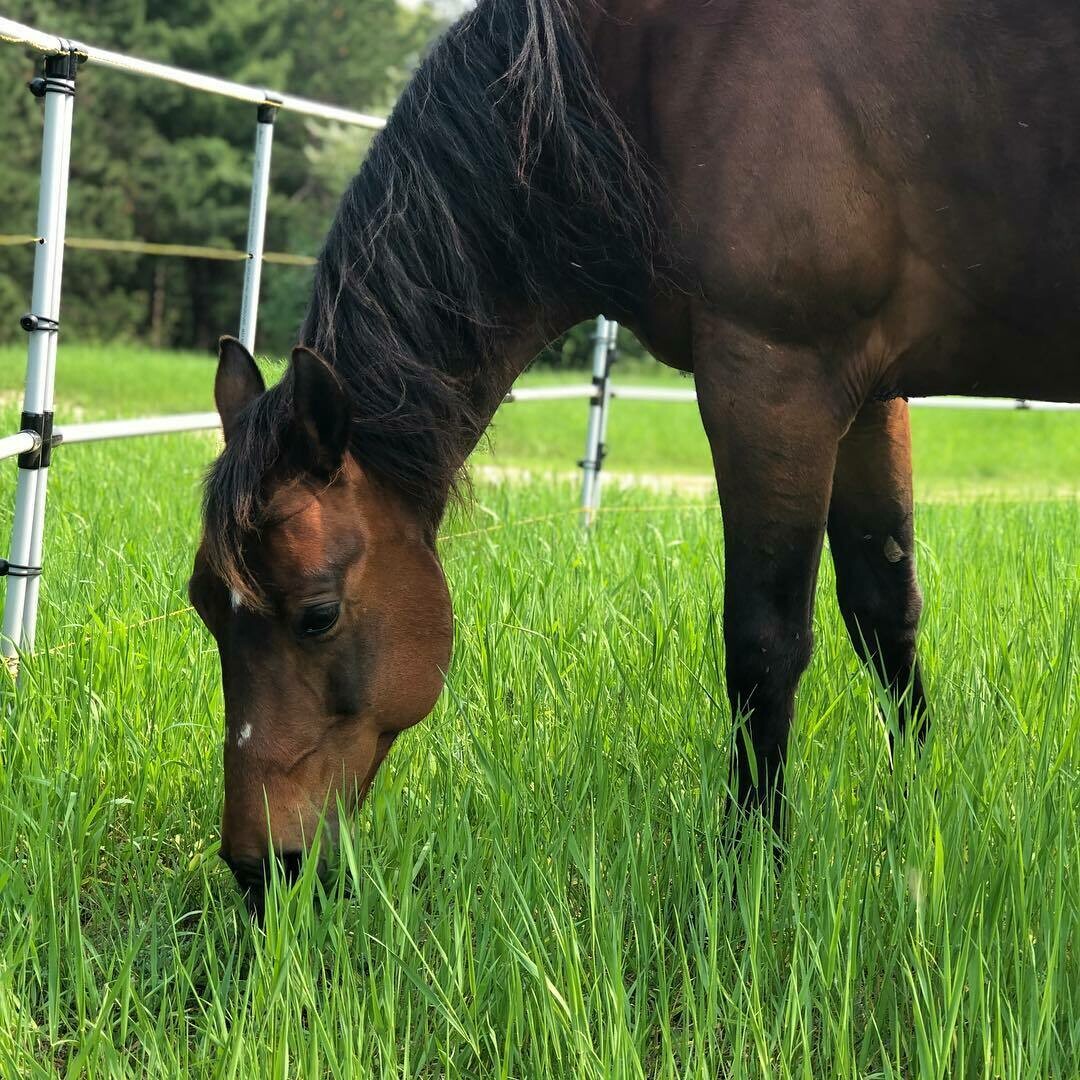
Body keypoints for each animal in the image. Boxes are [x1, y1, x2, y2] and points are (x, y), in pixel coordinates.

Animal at [188, 0, 1080, 909]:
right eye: (202, 606)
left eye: (317, 615)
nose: (258, 867)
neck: (655, 74)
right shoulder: (869, 394)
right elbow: (884, 610)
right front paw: (918, 812)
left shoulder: (772, 381)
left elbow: (764, 644)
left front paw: (750, 872)